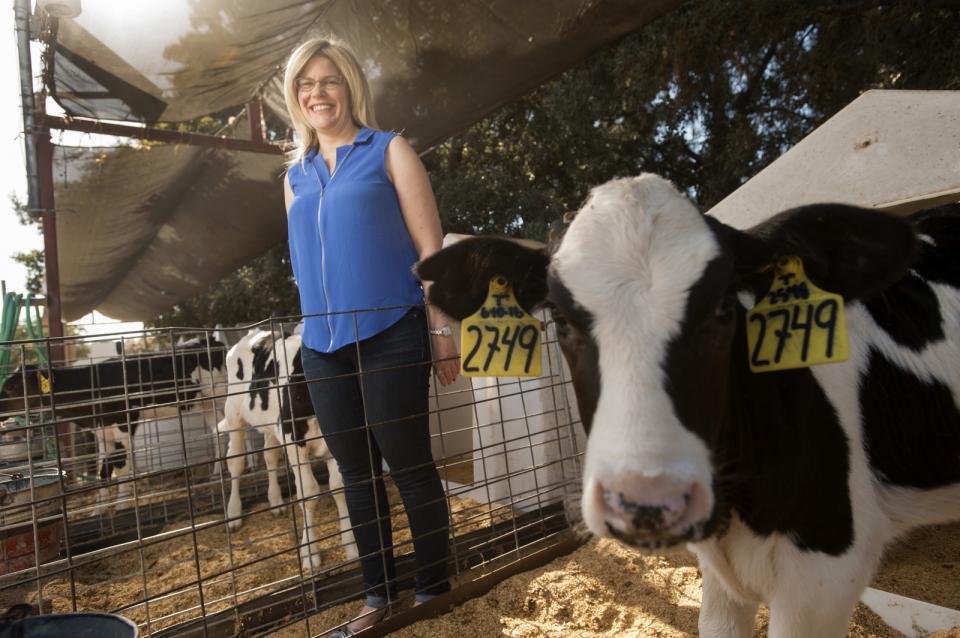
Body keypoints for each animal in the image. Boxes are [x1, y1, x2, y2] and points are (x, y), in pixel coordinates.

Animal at [0, 340, 227, 516]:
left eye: (11, 387)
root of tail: (210, 341)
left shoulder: (124, 424)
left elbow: (121, 467)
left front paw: (122, 506)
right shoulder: (103, 433)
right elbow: (103, 471)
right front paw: (98, 510)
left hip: (219, 394)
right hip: (205, 402)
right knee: (217, 430)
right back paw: (217, 474)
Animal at [218, 330, 356, 568]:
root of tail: (255, 333)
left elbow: (339, 489)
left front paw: (352, 546)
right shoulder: (293, 440)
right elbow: (308, 494)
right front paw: (310, 553)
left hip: (270, 425)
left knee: (270, 456)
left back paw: (275, 501)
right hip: (234, 414)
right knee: (235, 462)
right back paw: (234, 514)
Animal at [418, 175, 960, 638]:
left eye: (724, 309)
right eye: (562, 321)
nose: (647, 501)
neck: (740, 514)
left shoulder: (823, 576)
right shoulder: (721, 580)